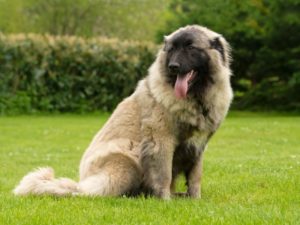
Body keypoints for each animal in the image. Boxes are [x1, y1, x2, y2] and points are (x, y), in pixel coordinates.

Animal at [14, 25, 233, 200]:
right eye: (171, 50)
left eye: (190, 48)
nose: (173, 66)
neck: (196, 98)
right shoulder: (160, 141)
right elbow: (164, 175)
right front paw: (165, 201)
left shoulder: (198, 146)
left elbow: (195, 177)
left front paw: (195, 199)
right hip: (128, 156)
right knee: (90, 192)